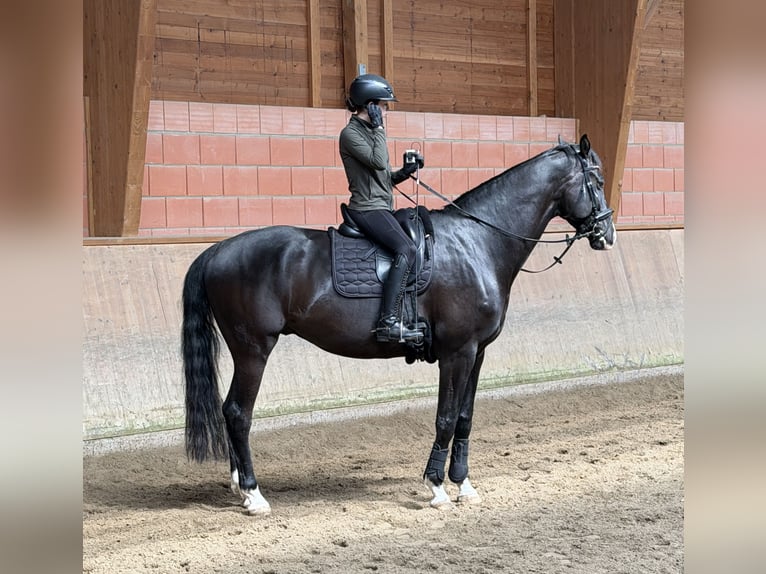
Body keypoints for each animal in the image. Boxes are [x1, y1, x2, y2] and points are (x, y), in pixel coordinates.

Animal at [182, 134, 616, 515]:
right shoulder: (457, 352)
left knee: (231, 411)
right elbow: (445, 416)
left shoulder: (477, 353)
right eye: (596, 181)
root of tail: (218, 249)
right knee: (238, 412)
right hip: (253, 349)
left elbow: (464, 417)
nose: (607, 235)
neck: (476, 241)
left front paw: (463, 484)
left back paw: (239, 485)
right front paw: (437, 487)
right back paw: (254, 494)